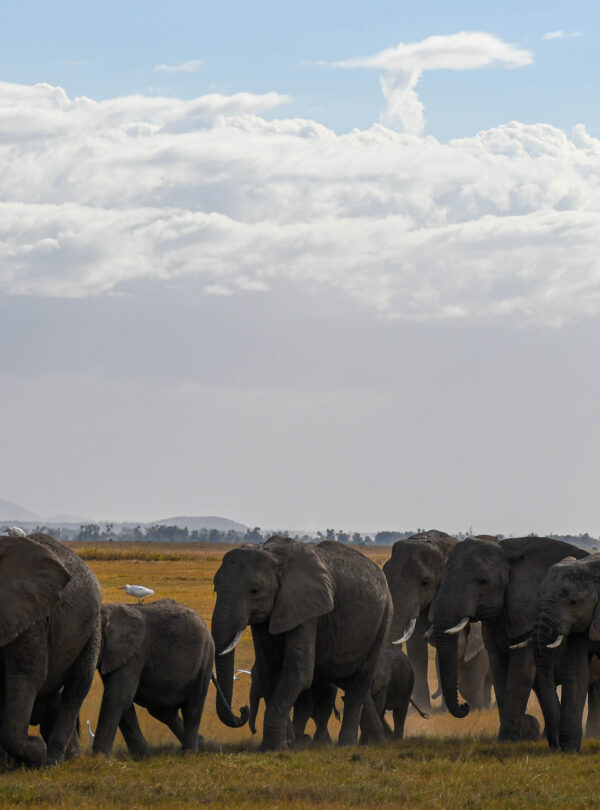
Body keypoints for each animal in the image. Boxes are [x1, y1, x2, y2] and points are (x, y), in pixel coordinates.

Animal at [0, 531, 102, 766]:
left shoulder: (31, 618)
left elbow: (27, 675)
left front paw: (37, 750)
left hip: (92, 625)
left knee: (77, 685)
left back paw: (53, 759)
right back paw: (70, 757)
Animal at [93, 599, 223, 756]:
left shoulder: (134, 655)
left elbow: (118, 697)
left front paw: (98, 757)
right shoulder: (112, 656)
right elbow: (122, 701)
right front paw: (142, 756)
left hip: (204, 659)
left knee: (192, 708)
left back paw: (188, 754)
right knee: (163, 712)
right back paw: (201, 744)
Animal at [211, 536, 392, 750]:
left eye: (254, 590)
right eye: (215, 587)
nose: (242, 710)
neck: (274, 557)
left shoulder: (307, 608)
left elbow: (298, 672)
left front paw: (276, 748)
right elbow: (269, 672)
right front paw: (288, 744)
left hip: (384, 619)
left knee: (359, 682)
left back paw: (347, 745)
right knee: (346, 680)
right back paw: (377, 740)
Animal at [432, 535, 587, 741]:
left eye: (483, 581)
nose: (465, 706)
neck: (507, 551)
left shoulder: (530, 611)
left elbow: (521, 672)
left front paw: (507, 739)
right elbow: (498, 670)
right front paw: (516, 735)